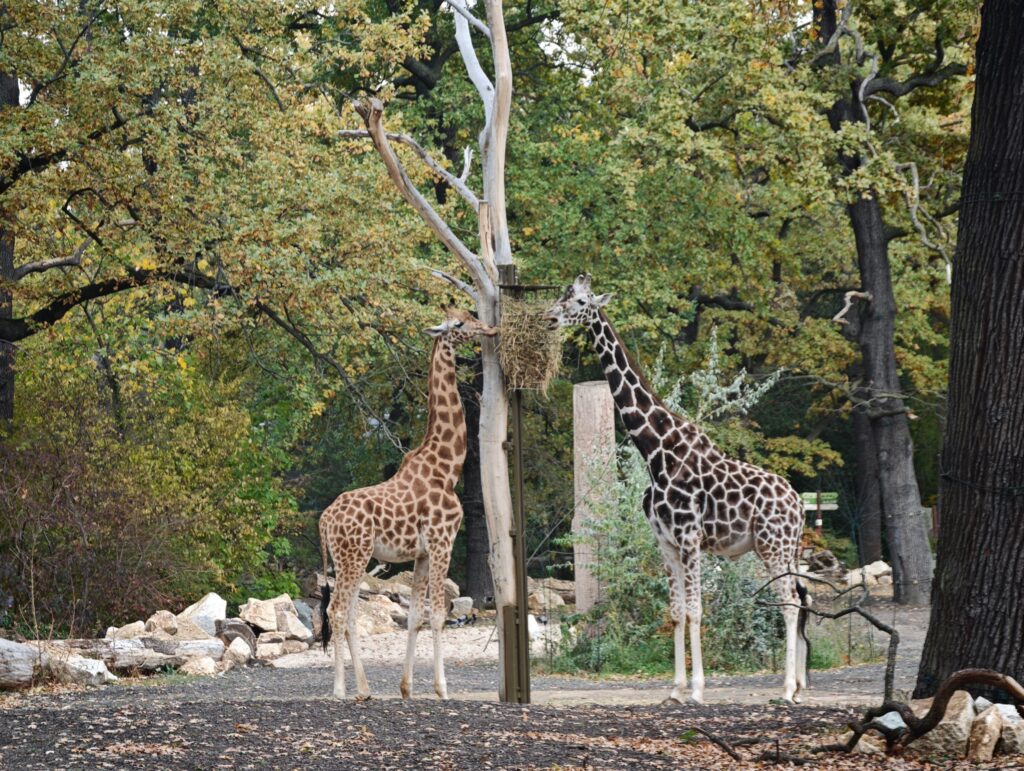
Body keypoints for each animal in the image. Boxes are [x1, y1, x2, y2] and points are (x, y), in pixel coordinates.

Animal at [318, 306, 497, 700]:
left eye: (470, 315)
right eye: (459, 324)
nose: (490, 329)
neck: (447, 467)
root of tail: (323, 521)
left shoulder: (421, 553)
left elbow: (416, 615)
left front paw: (406, 687)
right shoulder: (444, 541)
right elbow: (439, 614)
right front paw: (442, 689)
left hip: (349, 558)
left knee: (349, 614)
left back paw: (365, 688)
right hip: (354, 555)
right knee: (337, 611)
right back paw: (339, 689)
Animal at [545, 274, 810, 704]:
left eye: (581, 301)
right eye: (561, 296)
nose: (550, 317)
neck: (657, 452)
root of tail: (800, 504)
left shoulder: (690, 538)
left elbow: (697, 610)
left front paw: (698, 690)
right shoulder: (666, 543)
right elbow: (676, 612)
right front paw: (674, 688)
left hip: (775, 545)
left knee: (788, 603)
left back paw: (786, 690)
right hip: (779, 548)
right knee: (801, 598)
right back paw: (800, 684)